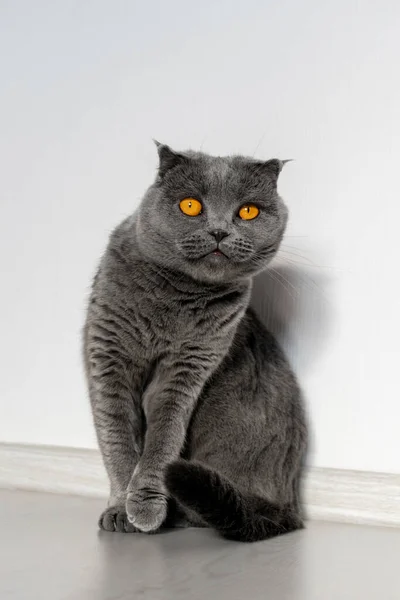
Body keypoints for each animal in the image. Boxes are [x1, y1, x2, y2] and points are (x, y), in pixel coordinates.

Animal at [83, 143, 308, 540]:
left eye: (247, 210)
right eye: (190, 205)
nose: (218, 231)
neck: (171, 302)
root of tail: (291, 506)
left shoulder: (189, 366)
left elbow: (163, 437)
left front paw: (144, 507)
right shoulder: (108, 357)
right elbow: (116, 437)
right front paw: (120, 509)